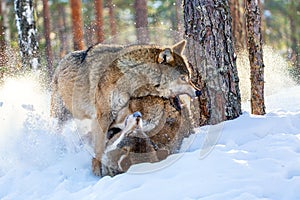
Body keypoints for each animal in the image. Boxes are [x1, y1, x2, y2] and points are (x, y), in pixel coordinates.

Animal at [51, 39, 202, 176]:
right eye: (183, 78)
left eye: (189, 76)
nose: (199, 92)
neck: (132, 76)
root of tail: (61, 62)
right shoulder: (104, 116)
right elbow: (100, 147)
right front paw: (96, 172)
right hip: (62, 117)